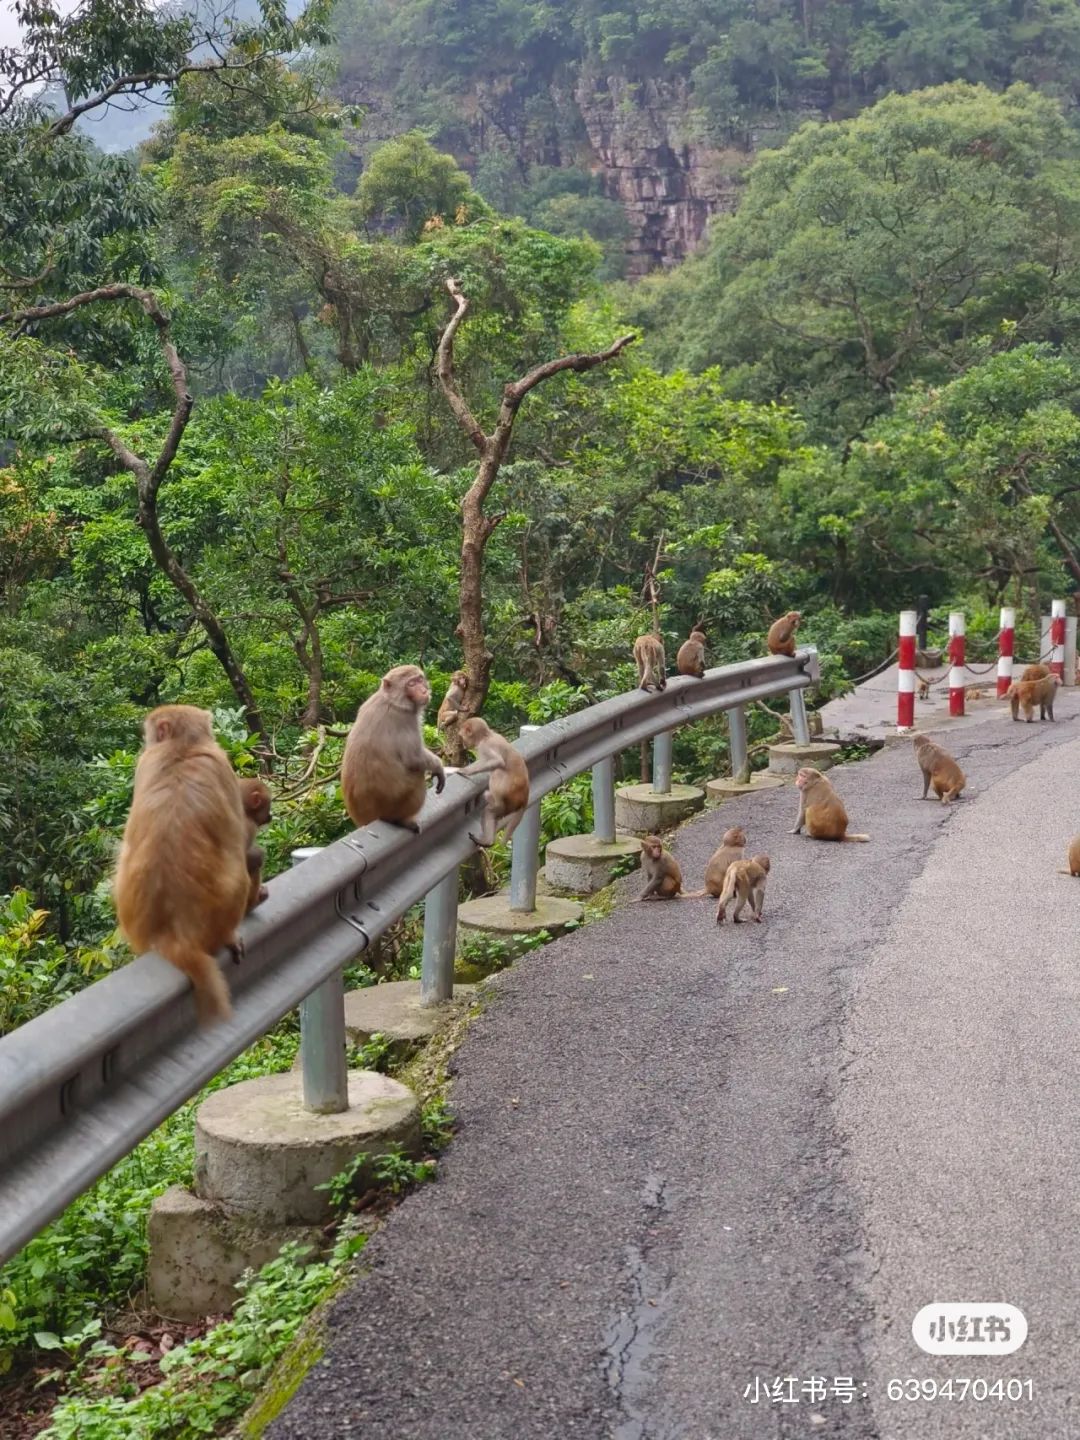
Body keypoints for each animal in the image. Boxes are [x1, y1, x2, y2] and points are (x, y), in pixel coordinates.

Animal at [347, 662, 449, 835]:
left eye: (419, 679)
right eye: (411, 684)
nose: (423, 691)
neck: (391, 700)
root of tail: (365, 820)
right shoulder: (405, 718)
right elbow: (413, 758)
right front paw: (438, 767)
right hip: (396, 805)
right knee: (417, 774)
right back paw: (400, 821)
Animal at [460, 717, 532, 846]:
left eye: (463, 737)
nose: (463, 744)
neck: (487, 736)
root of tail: (524, 798)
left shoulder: (484, 747)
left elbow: (497, 761)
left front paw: (464, 771)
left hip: (509, 800)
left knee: (497, 772)